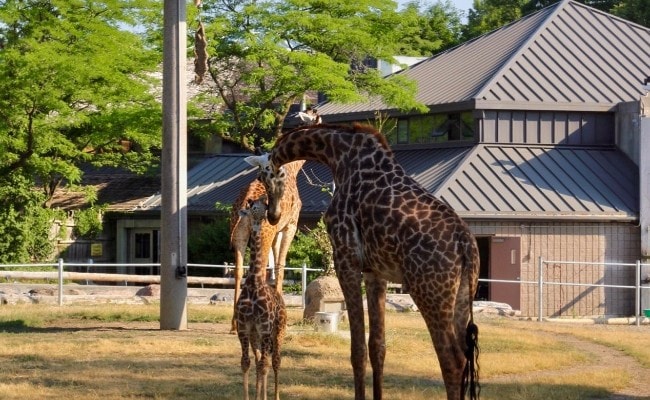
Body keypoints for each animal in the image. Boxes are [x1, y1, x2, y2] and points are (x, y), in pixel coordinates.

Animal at [229, 159, 306, 332]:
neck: (293, 168)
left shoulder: (277, 231)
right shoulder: (291, 225)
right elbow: (280, 266)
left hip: (239, 235)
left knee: (238, 271)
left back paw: (235, 323)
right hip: (264, 234)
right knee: (261, 269)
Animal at [233, 197, 284, 400]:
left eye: (266, 205)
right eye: (253, 207)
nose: (265, 214)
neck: (254, 284)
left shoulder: (264, 329)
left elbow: (264, 365)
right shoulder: (244, 328)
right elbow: (246, 362)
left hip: (278, 331)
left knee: (274, 360)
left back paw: (275, 396)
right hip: (257, 336)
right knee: (260, 359)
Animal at [246, 123, 478, 400]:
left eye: (263, 177)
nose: (273, 215)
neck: (338, 155)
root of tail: (465, 244)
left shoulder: (345, 259)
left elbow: (357, 350)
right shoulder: (375, 272)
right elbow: (378, 346)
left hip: (429, 292)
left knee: (452, 360)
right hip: (462, 297)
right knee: (464, 357)